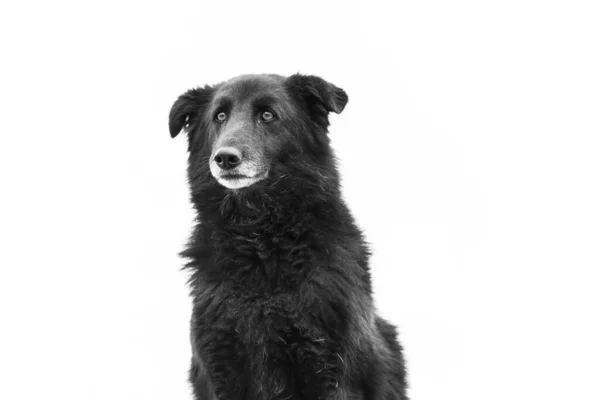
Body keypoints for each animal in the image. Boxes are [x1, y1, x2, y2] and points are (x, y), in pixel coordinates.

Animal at [171, 73, 410, 398]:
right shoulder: (220, 366)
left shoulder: (333, 369)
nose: (224, 158)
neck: (260, 241)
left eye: (268, 115)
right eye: (219, 116)